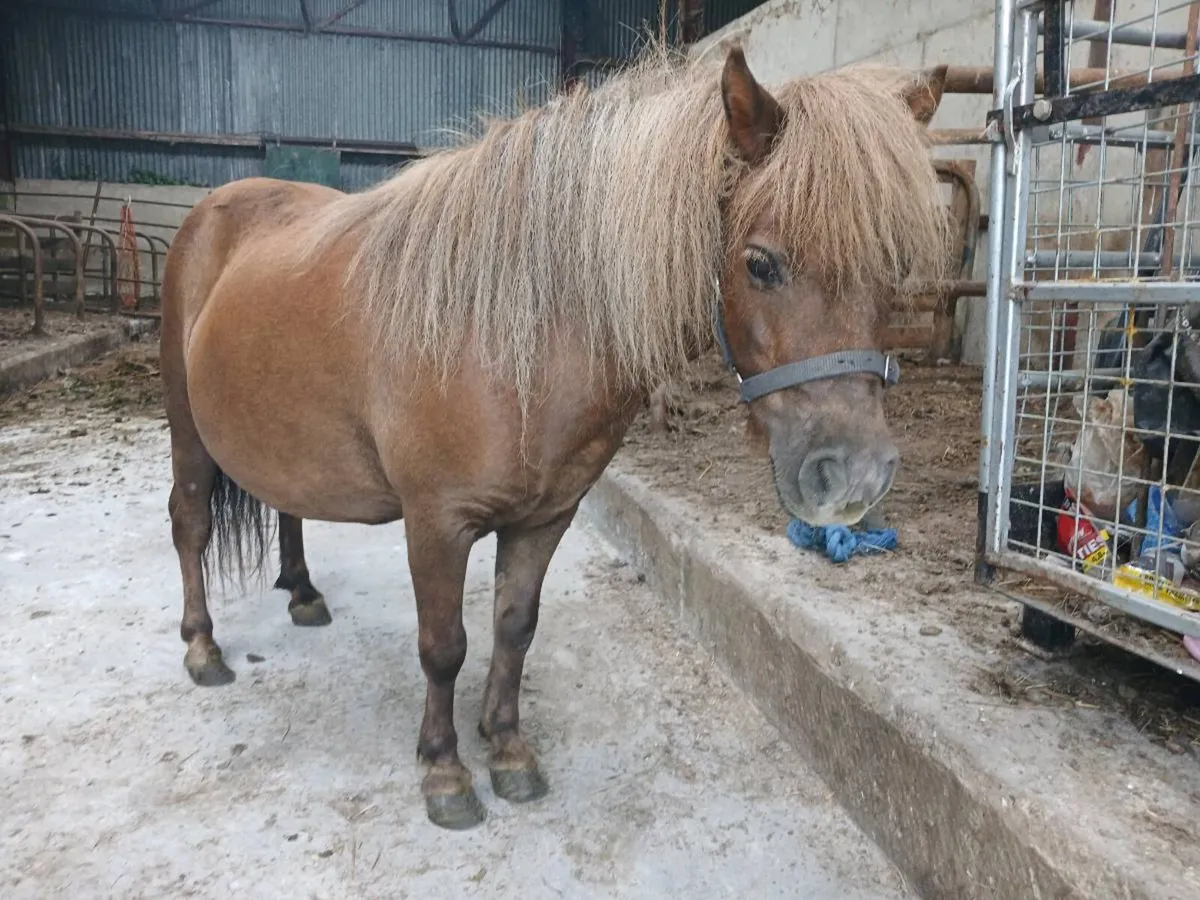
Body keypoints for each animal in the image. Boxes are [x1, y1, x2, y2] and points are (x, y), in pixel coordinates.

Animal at [160, 44, 950, 830]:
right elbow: (444, 647)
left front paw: (507, 750)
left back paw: (301, 592)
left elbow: (515, 627)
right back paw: (202, 648)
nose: (854, 477)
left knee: (286, 504)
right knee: (190, 522)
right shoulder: (435, 523)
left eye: (895, 267)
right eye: (760, 263)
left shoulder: (546, 516)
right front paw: (444, 771)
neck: (508, 337)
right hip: (188, 429)